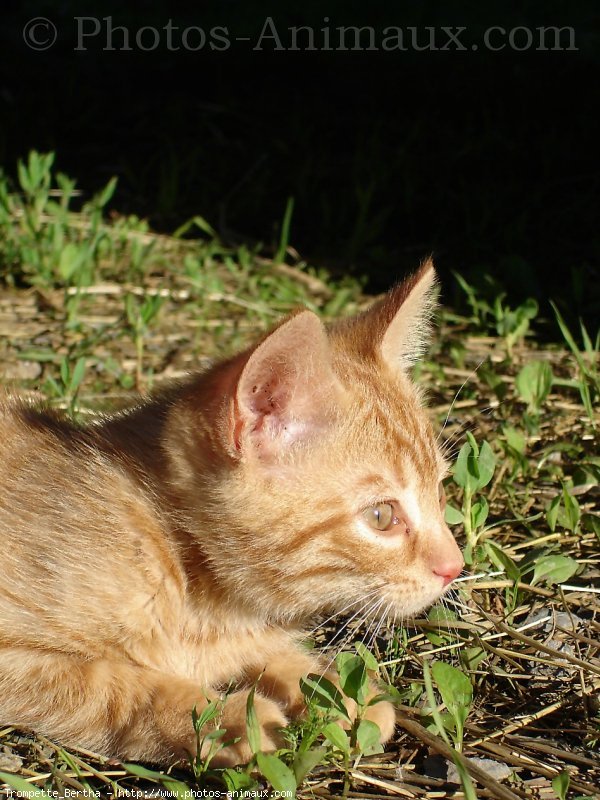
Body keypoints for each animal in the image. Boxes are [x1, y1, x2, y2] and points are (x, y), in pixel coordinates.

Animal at [0, 260, 464, 764]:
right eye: (381, 517)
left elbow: (272, 653)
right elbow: (105, 684)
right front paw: (224, 717)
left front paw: (337, 691)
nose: (455, 567)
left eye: (440, 492)